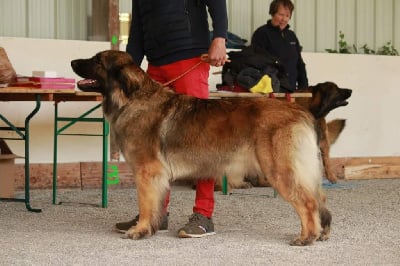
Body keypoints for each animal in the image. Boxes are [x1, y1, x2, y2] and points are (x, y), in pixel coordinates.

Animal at [71, 50, 332, 245]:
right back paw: (322, 233)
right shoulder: (156, 175)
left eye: (97, 61)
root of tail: (300, 111)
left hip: (279, 171)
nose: (72, 61)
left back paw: (306, 237)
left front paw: (140, 229)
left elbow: (145, 204)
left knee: (308, 202)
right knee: (320, 198)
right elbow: (156, 204)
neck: (132, 98)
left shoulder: (147, 172)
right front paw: (152, 227)